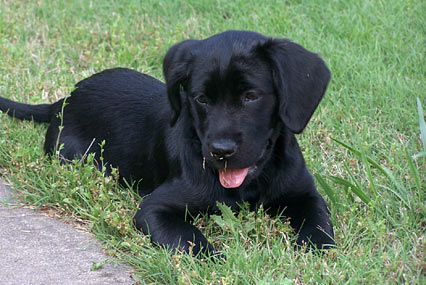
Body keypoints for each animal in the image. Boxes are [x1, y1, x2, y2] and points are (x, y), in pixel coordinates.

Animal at [0, 30, 336, 253]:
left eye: (251, 96)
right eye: (201, 99)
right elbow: (192, 240)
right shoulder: (153, 209)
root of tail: (63, 100)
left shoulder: (305, 194)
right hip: (72, 156)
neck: (250, 185)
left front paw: (317, 250)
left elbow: (319, 225)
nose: (221, 151)